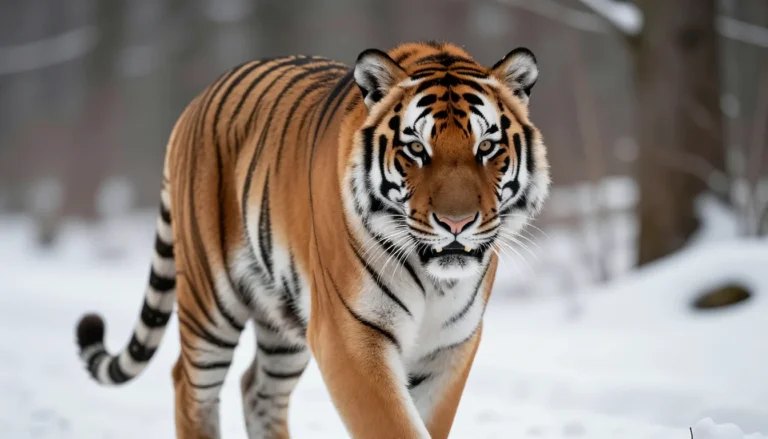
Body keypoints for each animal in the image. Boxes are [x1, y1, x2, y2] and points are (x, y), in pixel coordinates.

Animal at [74, 41, 550, 439]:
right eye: (416, 149)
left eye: (486, 147)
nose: (457, 223)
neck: (437, 282)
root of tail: (196, 101)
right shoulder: (350, 335)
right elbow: (396, 427)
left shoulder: (451, 347)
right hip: (209, 302)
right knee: (190, 387)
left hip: (284, 320)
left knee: (257, 389)